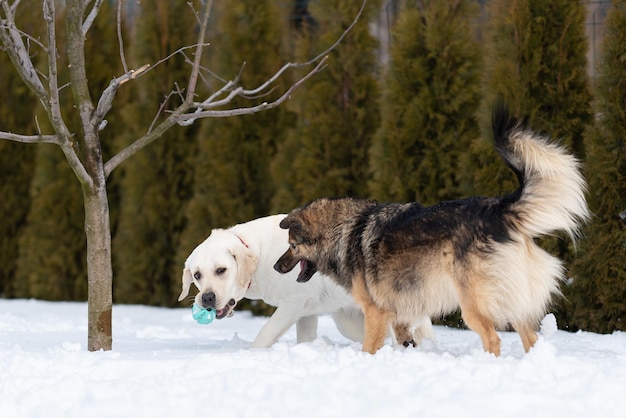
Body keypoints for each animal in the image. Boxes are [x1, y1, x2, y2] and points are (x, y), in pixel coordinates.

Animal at [178, 214, 366, 348]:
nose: (207, 298)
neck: (260, 254)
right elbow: (305, 338)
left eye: (221, 270)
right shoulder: (306, 311)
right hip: (346, 320)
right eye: (197, 275)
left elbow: (266, 332)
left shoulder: (294, 302)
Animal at [272, 105, 584, 356]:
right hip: (514, 300)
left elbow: (369, 346)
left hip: (473, 306)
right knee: (530, 338)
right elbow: (405, 339)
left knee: (493, 339)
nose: (276, 266)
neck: (343, 230)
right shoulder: (399, 314)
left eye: (292, 244)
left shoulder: (375, 311)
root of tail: (497, 210)